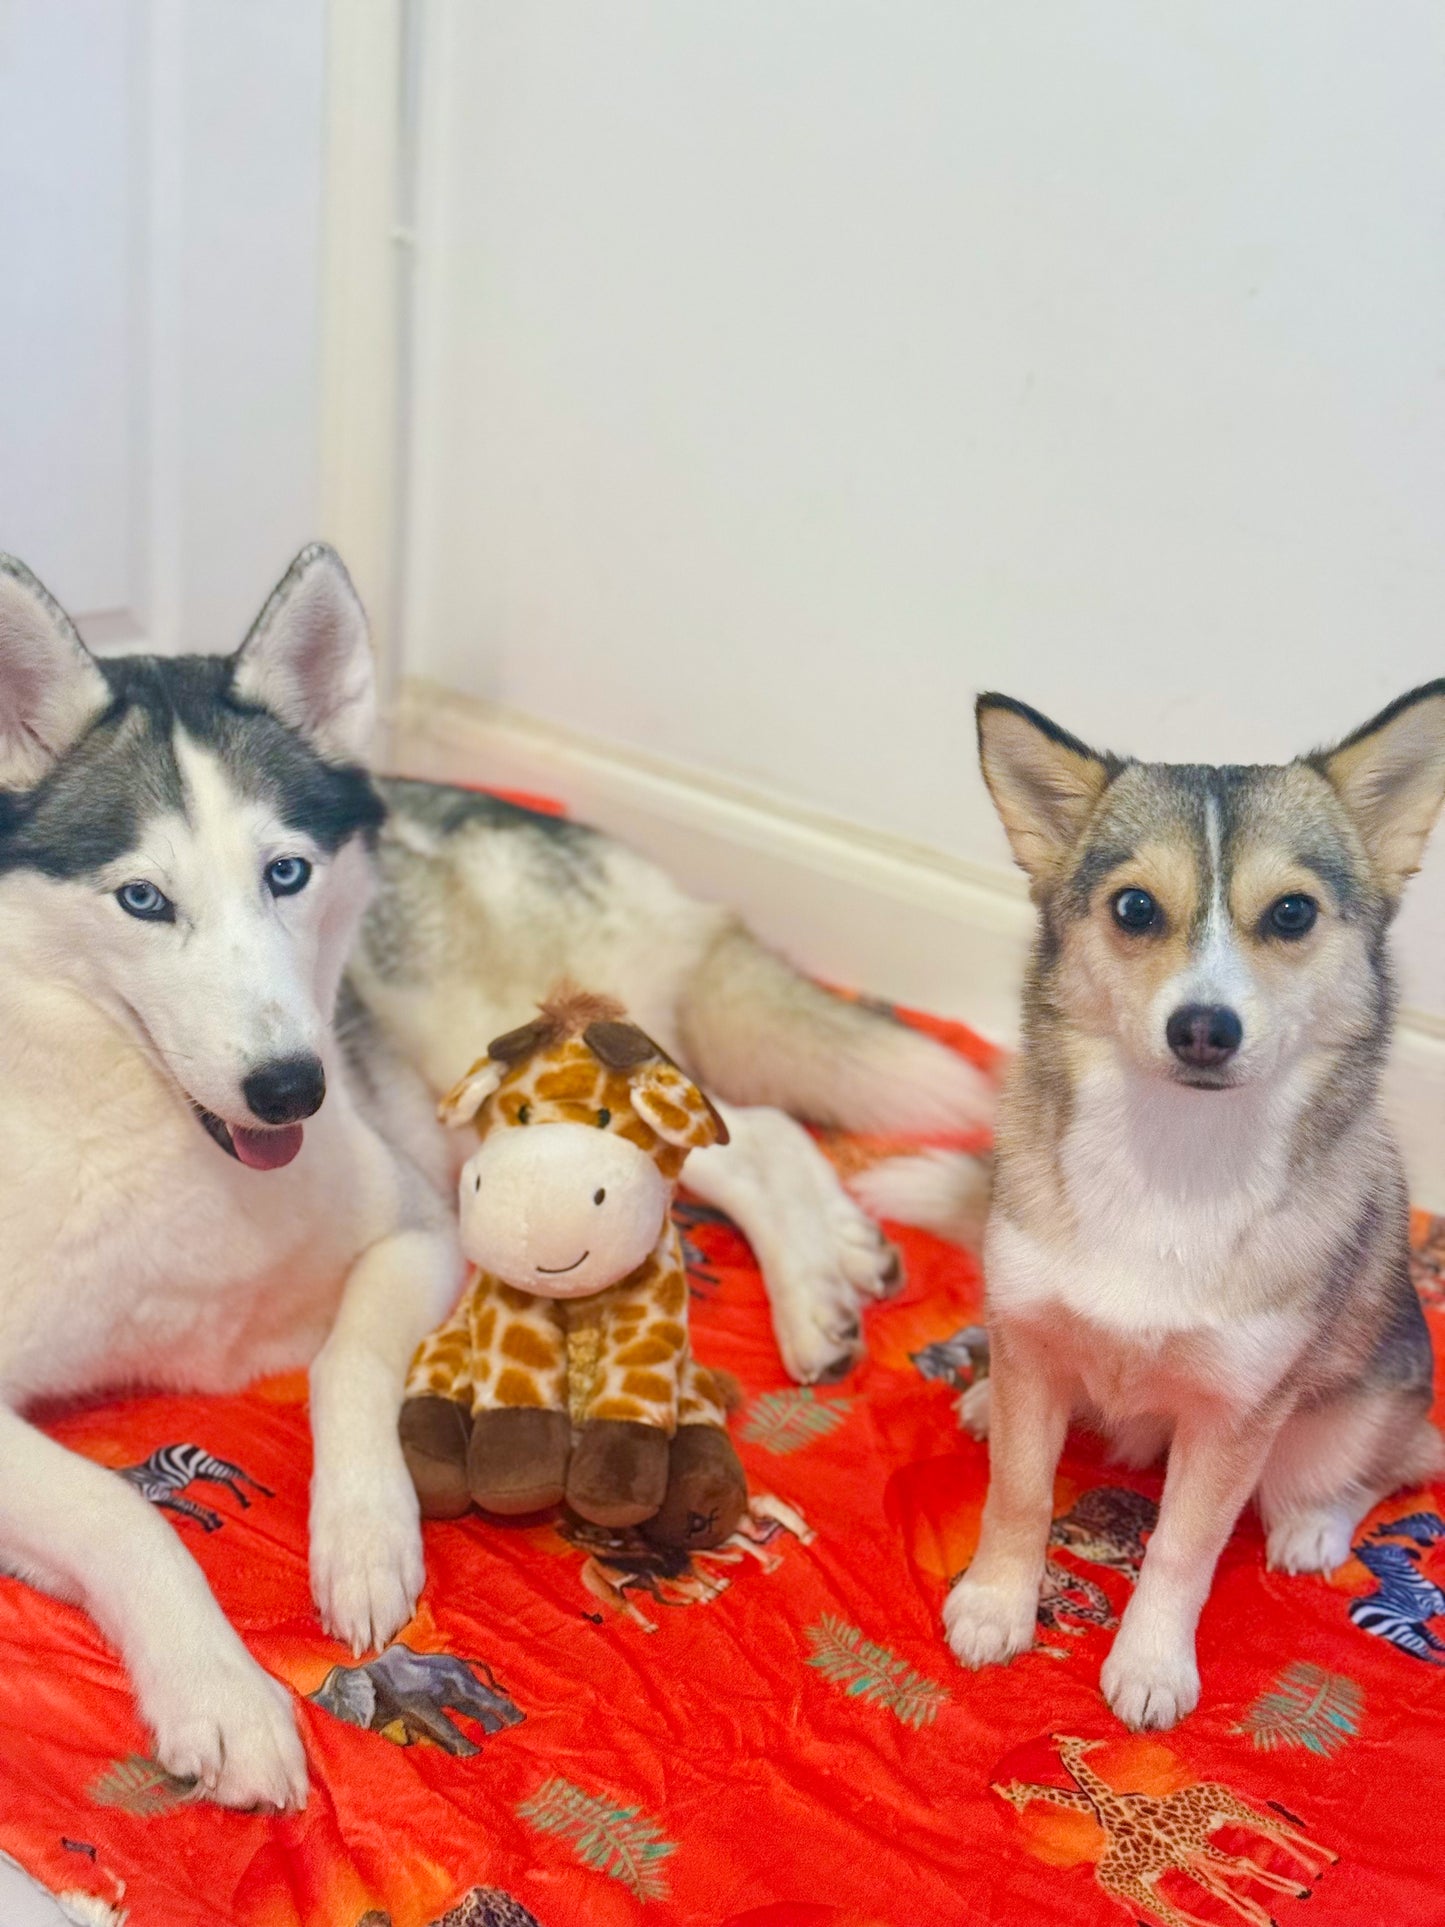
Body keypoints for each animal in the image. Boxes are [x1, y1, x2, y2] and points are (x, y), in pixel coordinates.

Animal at [993, 1734, 1336, 1927]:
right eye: (1015, 1797)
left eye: (1078, 1742)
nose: (1099, 1742)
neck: (1111, 1810)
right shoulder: (1180, 1852)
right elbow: (1225, 1878)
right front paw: (1267, 1914)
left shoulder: (1181, 1849)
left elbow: (1228, 1875)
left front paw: (1274, 1908)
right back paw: (1315, 1870)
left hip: (1224, 1817)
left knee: (1272, 1829)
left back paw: (1323, 1864)